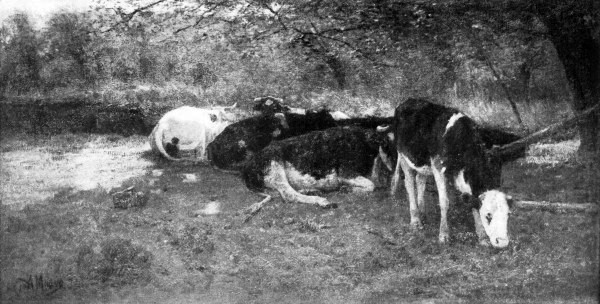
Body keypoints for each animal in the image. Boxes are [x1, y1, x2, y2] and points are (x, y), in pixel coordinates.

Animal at [240, 125, 390, 207]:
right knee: (288, 194)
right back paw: (323, 201)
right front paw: (346, 189)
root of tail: (247, 168)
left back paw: (310, 190)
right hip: (275, 168)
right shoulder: (346, 172)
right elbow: (371, 185)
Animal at [380, 98, 516, 248]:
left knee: (420, 180)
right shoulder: (438, 168)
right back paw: (415, 220)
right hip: (404, 156)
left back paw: (422, 213)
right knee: (409, 183)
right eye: (488, 215)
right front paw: (444, 235)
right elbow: (444, 202)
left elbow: (472, 203)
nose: (502, 242)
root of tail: (407, 102)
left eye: (508, 214)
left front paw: (482, 237)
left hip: (423, 162)